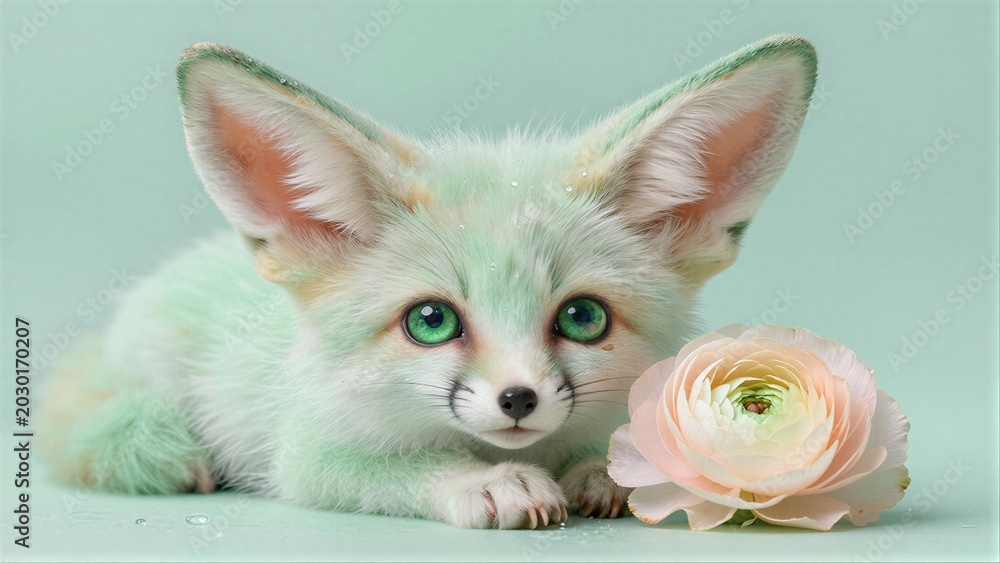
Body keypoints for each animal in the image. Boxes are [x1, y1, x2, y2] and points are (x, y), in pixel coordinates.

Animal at [40, 35, 816, 529]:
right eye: (431, 321)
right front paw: (483, 482)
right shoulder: (308, 452)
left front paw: (604, 471)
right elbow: (409, 467)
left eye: (583, 318)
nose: (518, 398)